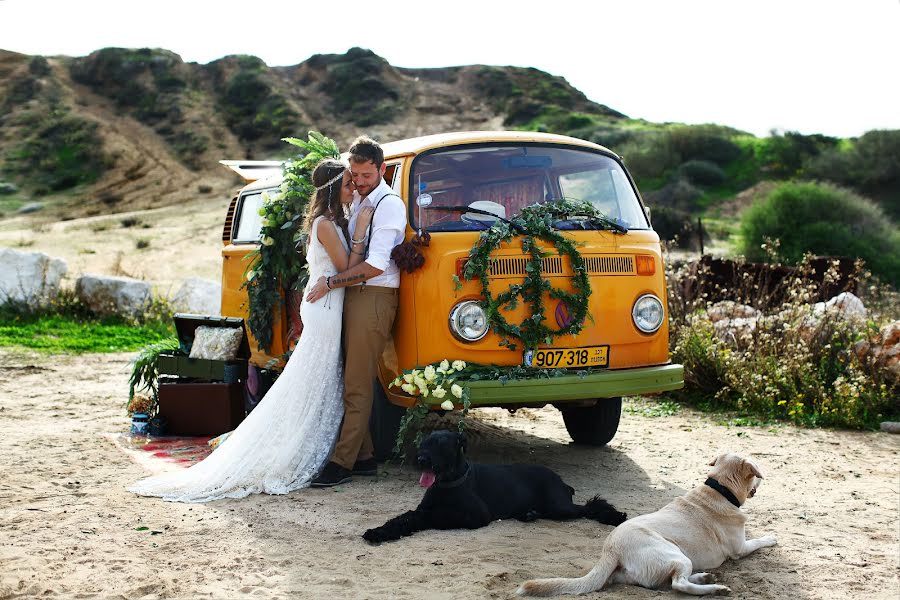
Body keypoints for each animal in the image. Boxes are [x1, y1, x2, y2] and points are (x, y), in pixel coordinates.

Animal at [360, 432, 624, 544]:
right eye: (424, 442)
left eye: (442, 444)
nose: (421, 459)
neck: (449, 483)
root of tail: (561, 481)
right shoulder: (422, 508)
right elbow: (404, 518)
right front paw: (379, 532)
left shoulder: (476, 517)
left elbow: (434, 516)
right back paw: (528, 514)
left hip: (560, 507)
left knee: (590, 506)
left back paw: (615, 516)